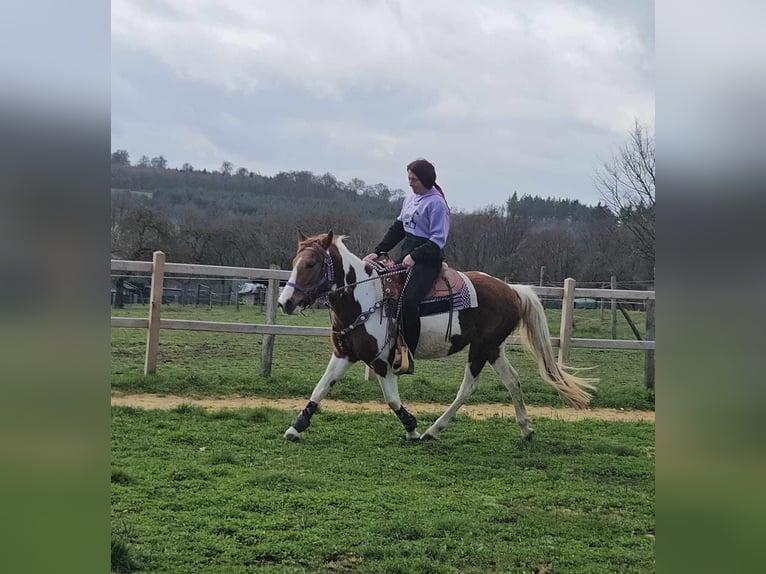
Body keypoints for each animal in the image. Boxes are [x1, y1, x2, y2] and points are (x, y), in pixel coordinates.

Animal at [277, 231, 596, 442]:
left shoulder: (382, 362)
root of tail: (513, 290)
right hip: (493, 348)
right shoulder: (345, 354)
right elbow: (320, 388)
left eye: (311, 264)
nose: (285, 302)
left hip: (480, 349)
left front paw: (412, 427)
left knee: (467, 389)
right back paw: (526, 429)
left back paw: (434, 430)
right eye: (294, 262)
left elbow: (392, 399)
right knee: (513, 381)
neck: (366, 296)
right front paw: (296, 426)